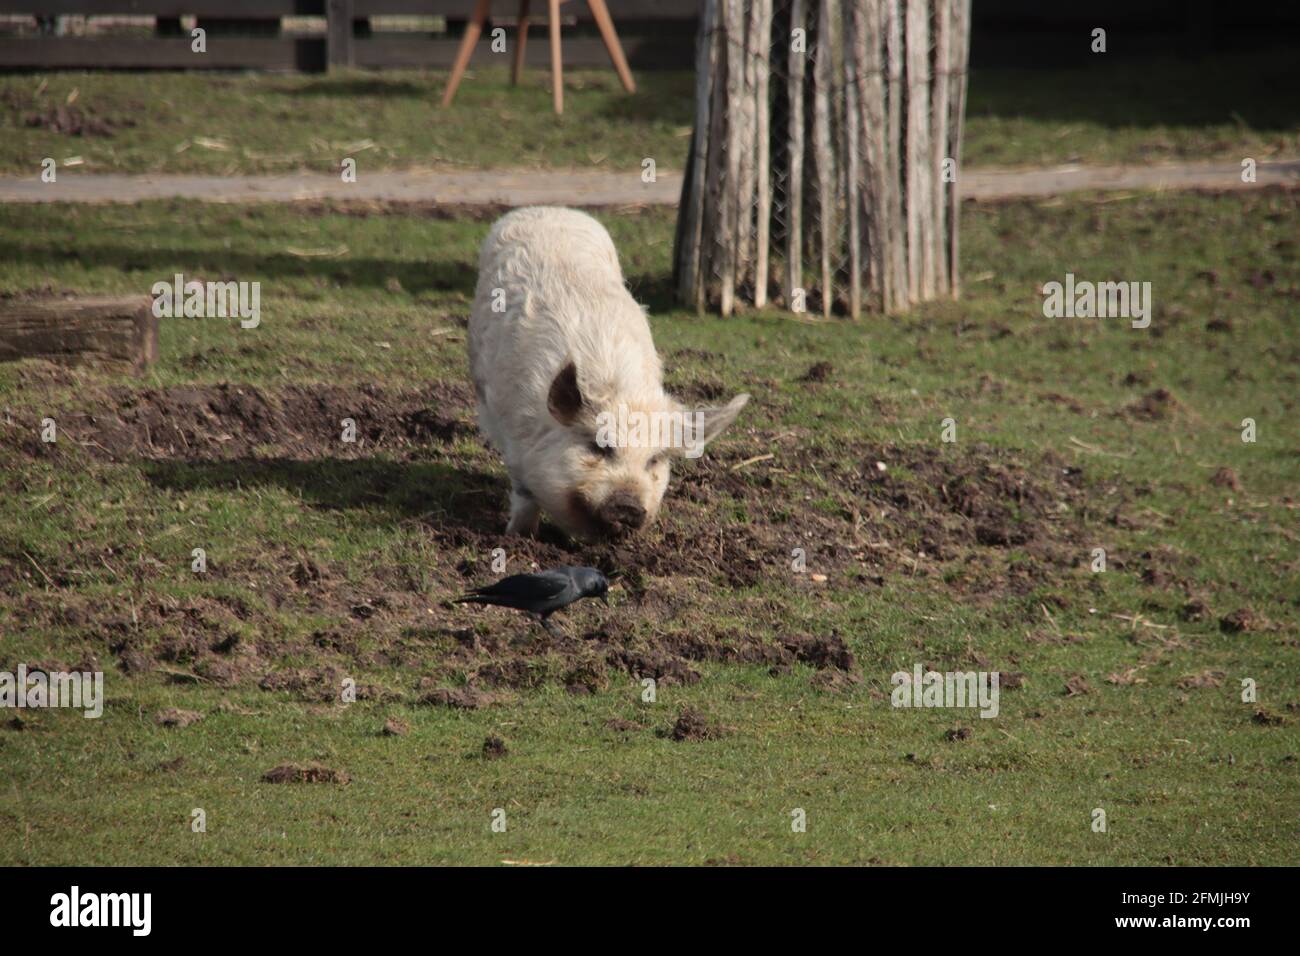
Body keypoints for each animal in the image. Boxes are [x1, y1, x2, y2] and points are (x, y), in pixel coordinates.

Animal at [470, 206, 754, 541]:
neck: (616, 386)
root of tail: (552, 209)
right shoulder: (515, 433)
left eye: (654, 459)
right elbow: (524, 494)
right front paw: (517, 536)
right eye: (599, 446)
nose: (628, 505)